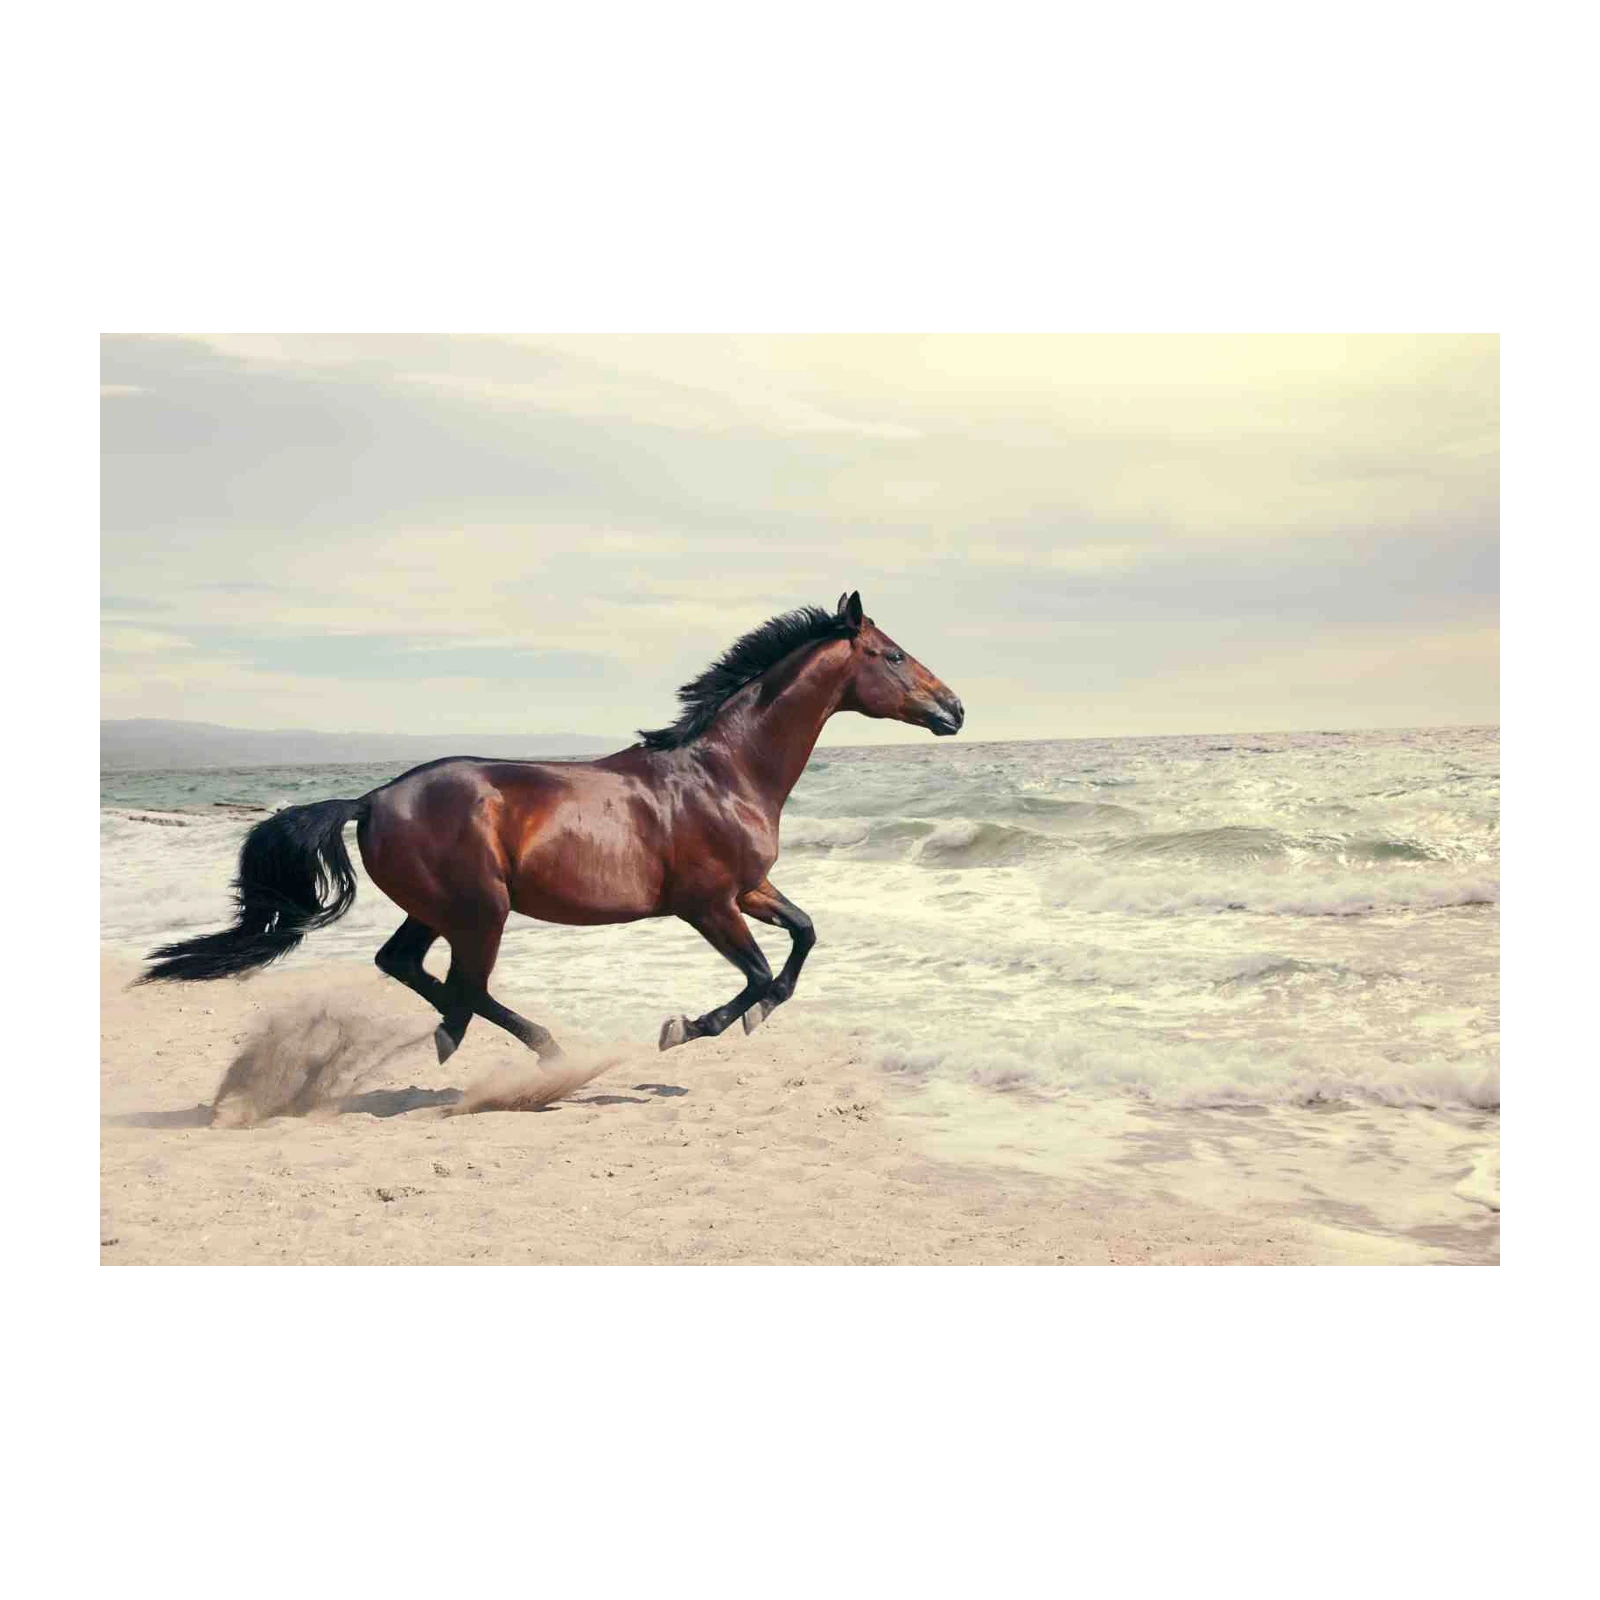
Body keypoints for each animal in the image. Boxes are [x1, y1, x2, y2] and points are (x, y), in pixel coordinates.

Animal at [139, 591, 964, 1063]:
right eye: (892, 655)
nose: (955, 709)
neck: (724, 771)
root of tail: (372, 798)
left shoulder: (750, 888)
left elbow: (803, 938)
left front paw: (751, 1017)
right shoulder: (707, 904)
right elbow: (760, 972)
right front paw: (688, 1027)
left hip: (441, 908)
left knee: (411, 967)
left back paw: (484, 1039)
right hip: (481, 909)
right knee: (461, 982)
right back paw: (518, 1045)